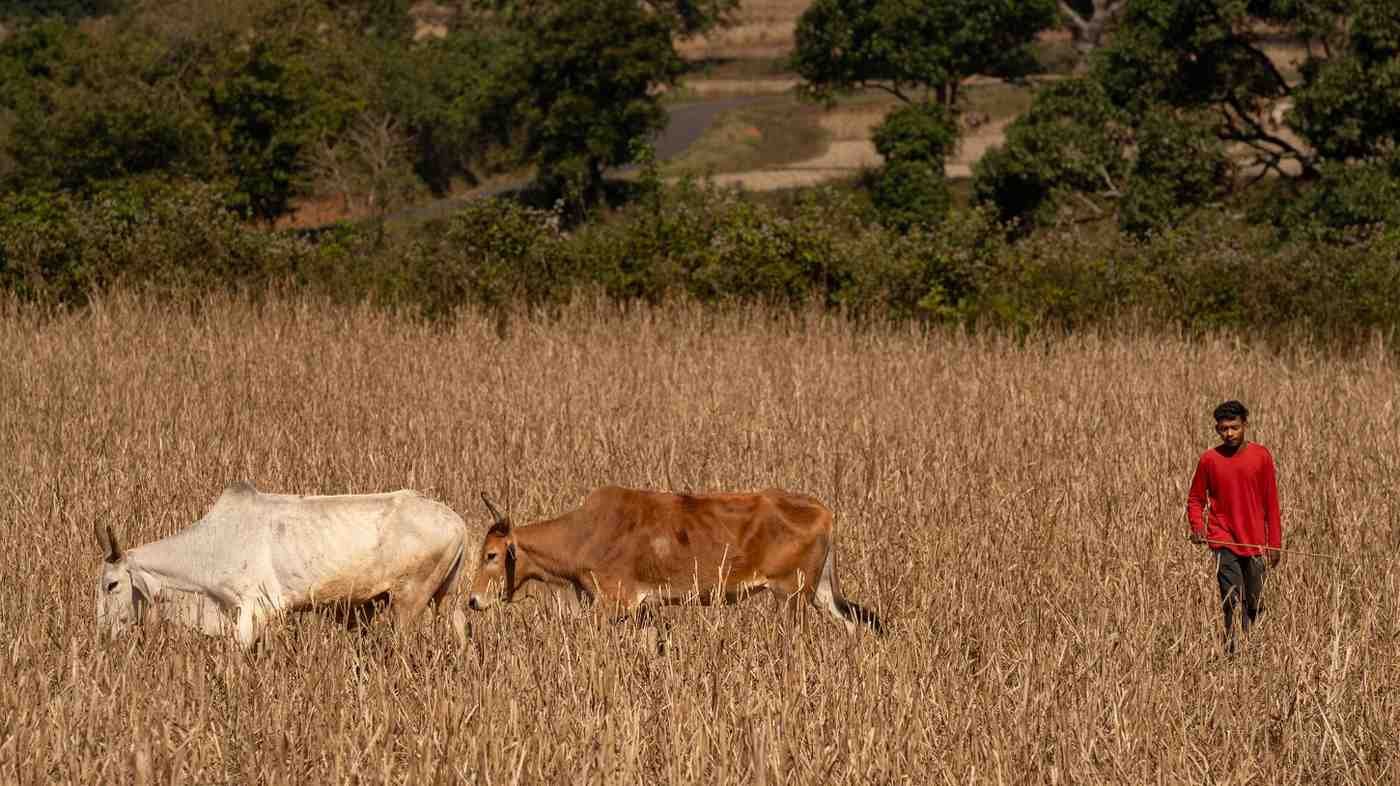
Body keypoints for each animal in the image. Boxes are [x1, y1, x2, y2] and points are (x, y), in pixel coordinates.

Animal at [94, 481, 468, 649]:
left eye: (111, 584)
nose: (102, 635)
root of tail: (457, 522)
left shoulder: (255, 608)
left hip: (409, 600)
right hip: (445, 598)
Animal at [466, 486, 884, 635]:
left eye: (491, 555)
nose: (472, 600)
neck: (584, 532)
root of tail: (822, 510)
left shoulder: (614, 603)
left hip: (790, 595)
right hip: (820, 594)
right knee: (856, 625)